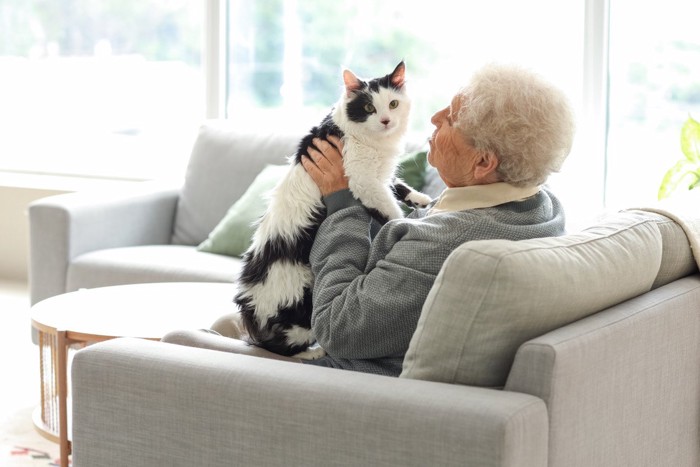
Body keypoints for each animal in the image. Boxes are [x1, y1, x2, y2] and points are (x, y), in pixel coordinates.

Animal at [234, 59, 432, 358]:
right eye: (369, 108)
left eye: (393, 104)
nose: (386, 120)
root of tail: (250, 304)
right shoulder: (363, 181)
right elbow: (390, 209)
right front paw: (403, 222)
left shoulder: (379, 177)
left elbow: (397, 185)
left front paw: (421, 199)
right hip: (302, 302)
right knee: (281, 346)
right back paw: (312, 353)